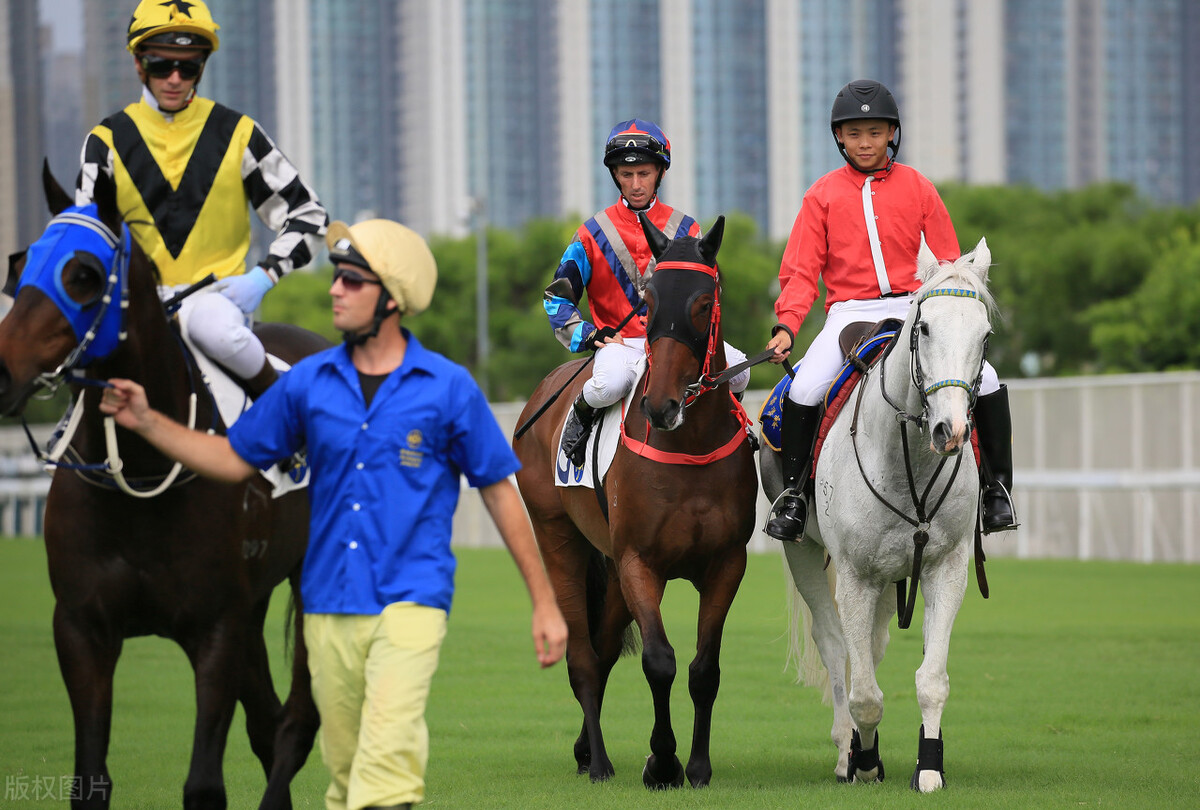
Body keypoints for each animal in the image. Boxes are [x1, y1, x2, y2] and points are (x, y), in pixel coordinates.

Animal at [0, 162, 324, 806]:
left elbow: (203, 785)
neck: (143, 471)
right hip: (254, 600)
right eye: (18, 267)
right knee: (267, 721)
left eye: (83, 274)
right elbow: (90, 780)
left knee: (296, 723)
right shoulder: (81, 628)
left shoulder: (216, 628)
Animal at [511, 217, 753, 792]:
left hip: (613, 570)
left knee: (600, 653)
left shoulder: (726, 562)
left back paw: (584, 750)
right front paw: (662, 762)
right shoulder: (640, 561)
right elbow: (659, 661)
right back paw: (598, 762)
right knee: (582, 655)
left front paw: (697, 765)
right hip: (560, 539)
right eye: (650, 298)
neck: (689, 446)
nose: (660, 406)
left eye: (703, 303)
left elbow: (704, 669)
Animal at [763, 236, 998, 792]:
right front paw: (863, 759)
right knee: (836, 648)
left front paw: (929, 766)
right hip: (806, 555)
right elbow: (865, 693)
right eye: (925, 327)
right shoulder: (854, 576)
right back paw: (847, 752)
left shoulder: (945, 568)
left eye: (984, 334)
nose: (951, 431)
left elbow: (932, 679)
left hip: (893, 578)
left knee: (871, 645)